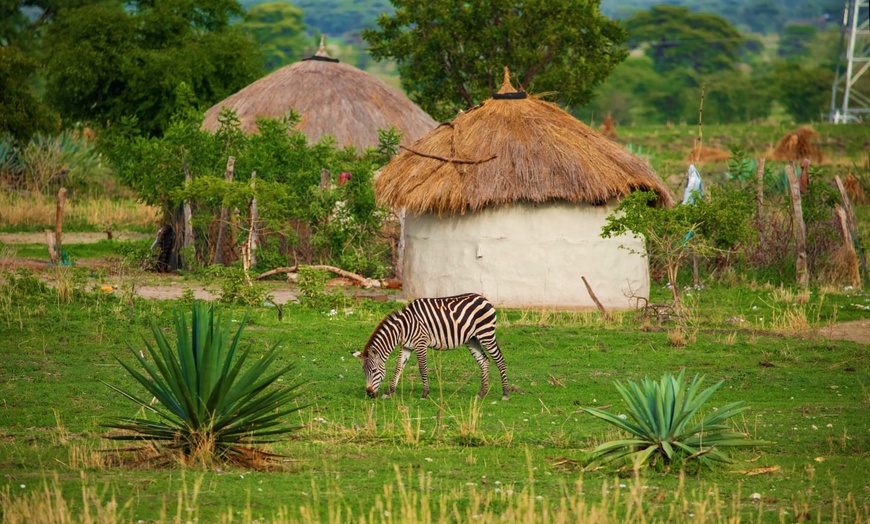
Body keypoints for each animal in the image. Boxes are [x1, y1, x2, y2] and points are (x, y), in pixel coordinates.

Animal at [350, 292, 508, 400]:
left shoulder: (420, 343)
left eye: (374, 371)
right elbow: (399, 367)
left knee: (499, 360)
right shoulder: (406, 346)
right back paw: (482, 393)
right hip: (472, 339)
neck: (403, 328)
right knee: (484, 361)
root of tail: (484, 298)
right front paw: (389, 392)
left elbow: (422, 368)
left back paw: (505, 393)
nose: (369, 394)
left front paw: (425, 393)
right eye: (364, 372)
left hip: (486, 333)